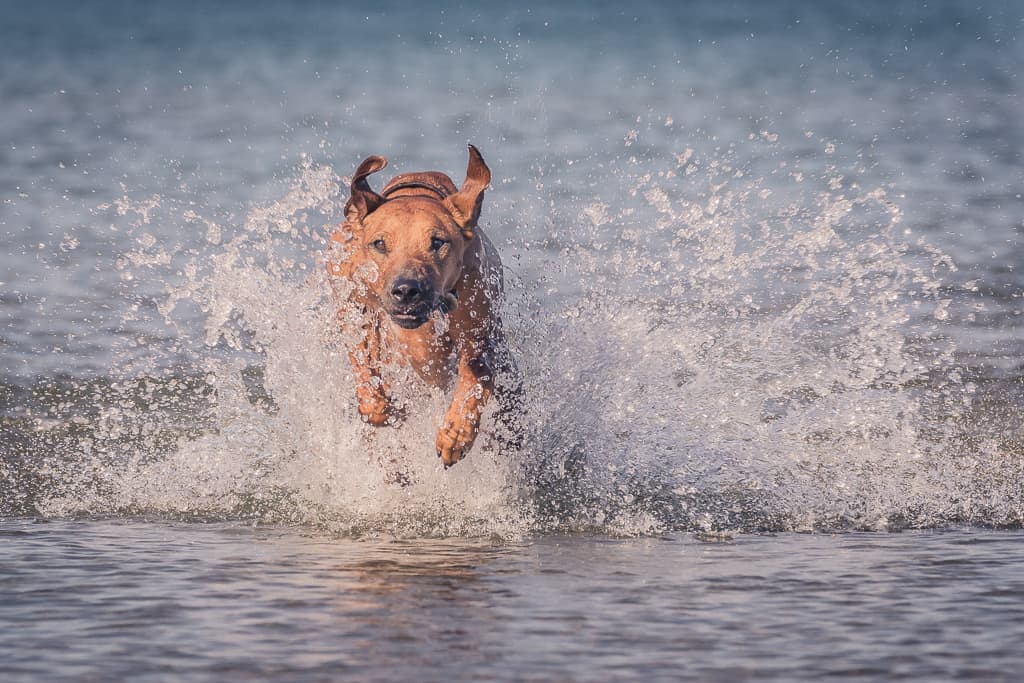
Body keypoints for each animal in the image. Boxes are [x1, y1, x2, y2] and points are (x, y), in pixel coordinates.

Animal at [327, 146, 512, 466]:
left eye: (437, 242)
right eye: (379, 244)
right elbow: (363, 354)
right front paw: (375, 404)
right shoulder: (352, 299)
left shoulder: (476, 327)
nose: (406, 290)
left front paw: (456, 434)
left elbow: (476, 376)